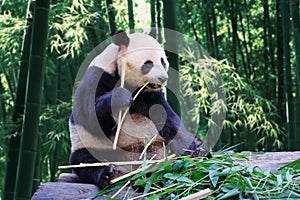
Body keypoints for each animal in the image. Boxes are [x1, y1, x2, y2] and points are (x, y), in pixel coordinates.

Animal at [70, 30, 211, 189]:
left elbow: (167, 116)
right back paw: (109, 174)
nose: (163, 78)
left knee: (194, 139)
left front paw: (188, 150)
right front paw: (120, 97)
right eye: (148, 64)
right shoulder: (96, 77)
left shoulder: (150, 95)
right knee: (86, 161)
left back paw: (200, 152)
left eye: (162, 61)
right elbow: (90, 118)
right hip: (91, 146)